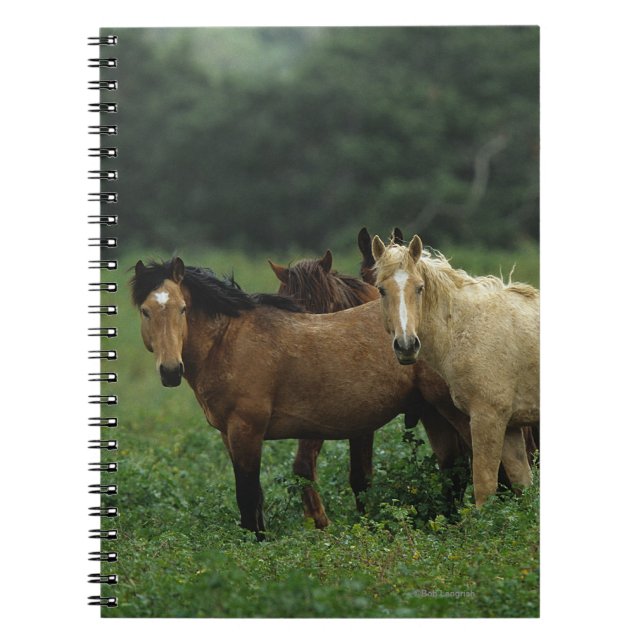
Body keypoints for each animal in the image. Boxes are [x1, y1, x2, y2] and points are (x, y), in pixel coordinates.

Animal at [130, 257, 471, 538]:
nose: (171, 371)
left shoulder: (247, 430)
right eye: (146, 311)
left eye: (183, 309)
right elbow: (254, 497)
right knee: (452, 468)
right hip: (433, 413)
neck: (229, 341)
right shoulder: (229, 435)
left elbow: (248, 495)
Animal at [371, 234, 540, 507]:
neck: (466, 328)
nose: (406, 346)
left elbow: (484, 486)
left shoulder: (487, 418)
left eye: (419, 288)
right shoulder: (511, 427)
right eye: (381, 289)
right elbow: (522, 485)